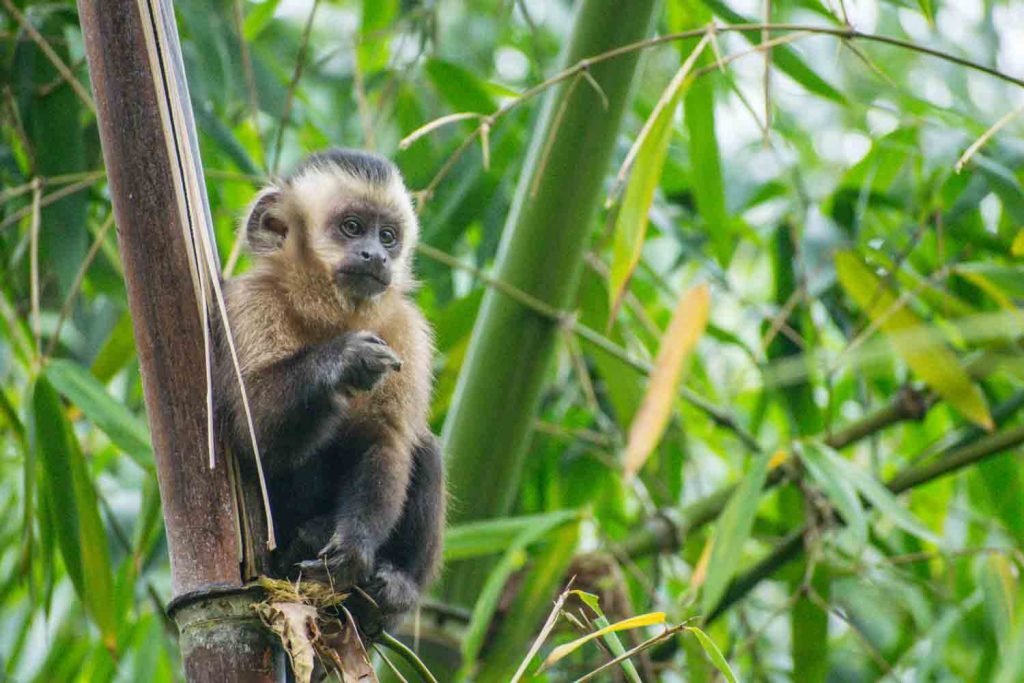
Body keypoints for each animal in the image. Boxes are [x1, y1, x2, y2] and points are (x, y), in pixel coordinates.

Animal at [214, 148, 444, 631]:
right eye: (352, 227)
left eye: (389, 237)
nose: (376, 255)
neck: (329, 314)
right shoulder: (249, 304)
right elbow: (253, 436)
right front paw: (344, 359)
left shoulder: (405, 329)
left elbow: (385, 438)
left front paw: (355, 545)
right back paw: (305, 541)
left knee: (424, 446)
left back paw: (393, 591)